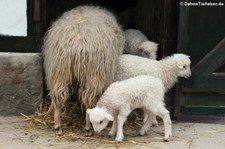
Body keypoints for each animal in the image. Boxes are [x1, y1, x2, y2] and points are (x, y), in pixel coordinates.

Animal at [42, 5, 125, 136]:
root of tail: (77, 43)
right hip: (93, 76)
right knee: (88, 101)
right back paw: (88, 128)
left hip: (59, 72)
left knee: (58, 98)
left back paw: (58, 126)